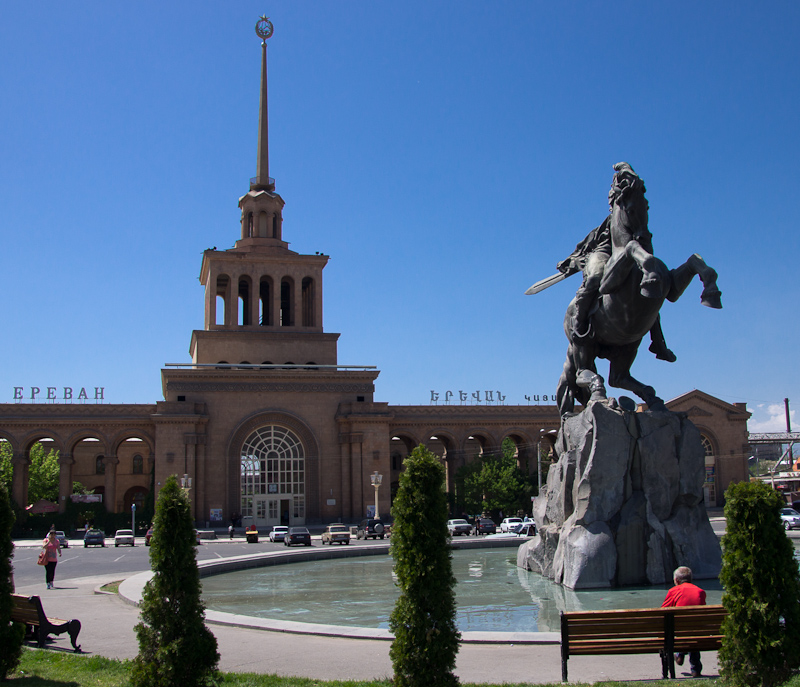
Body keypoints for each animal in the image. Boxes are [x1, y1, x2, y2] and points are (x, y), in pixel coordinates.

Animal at [560, 164, 720, 416]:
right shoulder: (609, 282)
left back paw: (652, 399)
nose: (644, 237)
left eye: (646, 204)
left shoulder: (672, 289)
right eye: (628, 205)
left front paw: (711, 293)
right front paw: (650, 278)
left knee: (618, 378)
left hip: (627, 346)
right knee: (582, 373)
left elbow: (694, 260)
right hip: (584, 344)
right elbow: (631, 249)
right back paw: (600, 395)